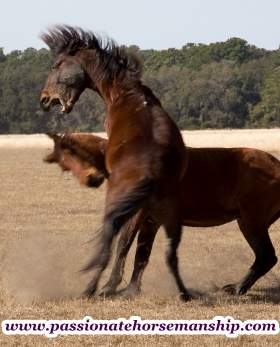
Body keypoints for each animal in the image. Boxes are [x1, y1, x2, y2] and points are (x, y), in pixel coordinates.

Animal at [39, 26, 189, 300]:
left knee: (113, 245)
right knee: (163, 252)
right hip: (163, 217)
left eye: (56, 65)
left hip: (121, 207)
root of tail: (151, 174)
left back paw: (95, 288)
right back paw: (178, 292)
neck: (127, 94)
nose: (44, 100)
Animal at [45, 133, 280, 300]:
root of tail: (276, 165)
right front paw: (132, 290)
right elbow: (141, 255)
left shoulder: (137, 216)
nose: (91, 179)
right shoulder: (151, 222)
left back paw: (238, 288)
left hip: (251, 222)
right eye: (63, 165)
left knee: (266, 256)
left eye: (72, 153)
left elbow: (123, 246)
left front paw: (108, 287)